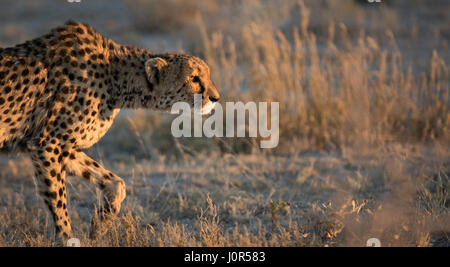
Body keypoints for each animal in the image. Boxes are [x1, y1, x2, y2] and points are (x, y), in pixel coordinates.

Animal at [0, 20, 221, 243]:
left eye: (207, 75)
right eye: (194, 78)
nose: (216, 98)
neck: (115, 77)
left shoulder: (60, 146)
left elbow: (116, 183)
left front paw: (100, 225)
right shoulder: (47, 145)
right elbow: (59, 202)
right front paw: (67, 238)